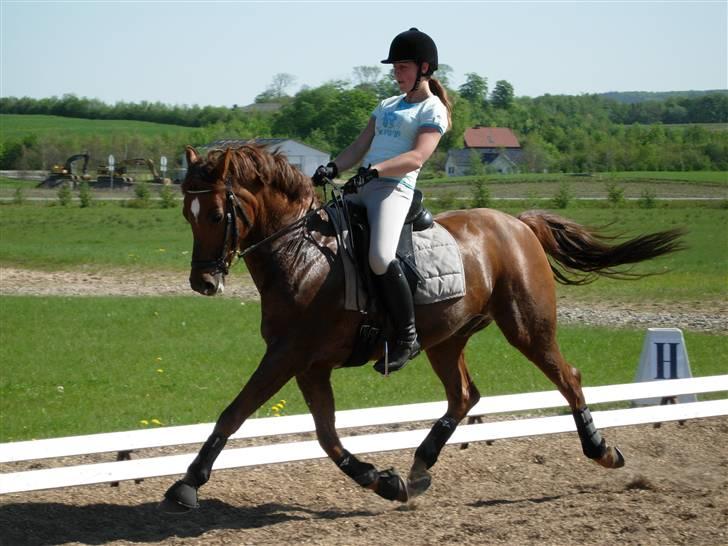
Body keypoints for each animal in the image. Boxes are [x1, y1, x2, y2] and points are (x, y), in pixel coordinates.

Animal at [158, 144, 684, 510]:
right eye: (187, 213)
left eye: (219, 213)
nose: (203, 282)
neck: (302, 254)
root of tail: (517, 223)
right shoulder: (310, 364)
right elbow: (326, 436)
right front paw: (384, 482)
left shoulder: (289, 354)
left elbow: (235, 412)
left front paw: (187, 484)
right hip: (447, 338)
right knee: (465, 395)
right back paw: (418, 468)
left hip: (527, 327)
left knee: (567, 378)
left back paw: (602, 450)